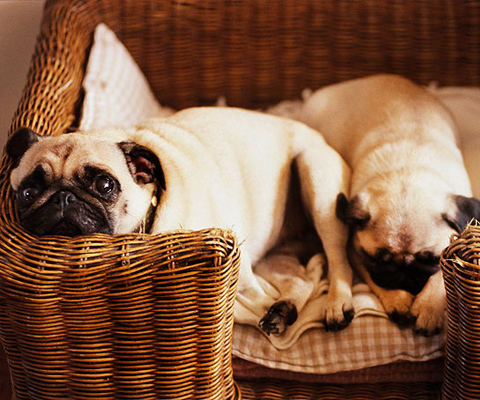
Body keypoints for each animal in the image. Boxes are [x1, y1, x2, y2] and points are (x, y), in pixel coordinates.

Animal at [5, 106, 354, 334]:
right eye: (28, 192)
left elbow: (249, 295)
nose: (63, 197)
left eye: (104, 185)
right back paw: (283, 309)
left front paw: (257, 305)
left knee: (338, 260)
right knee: (302, 280)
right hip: (275, 254)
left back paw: (337, 305)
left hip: (317, 179)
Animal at [298, 73, 478, 336]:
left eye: (429, 259)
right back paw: (338, 303)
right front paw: (398, 300)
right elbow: (372, 276)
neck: (407, 169)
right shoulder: (358, 251)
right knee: (337, 262)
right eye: (380, 260)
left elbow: (440, 276)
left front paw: (428, 307)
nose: (404, 272)